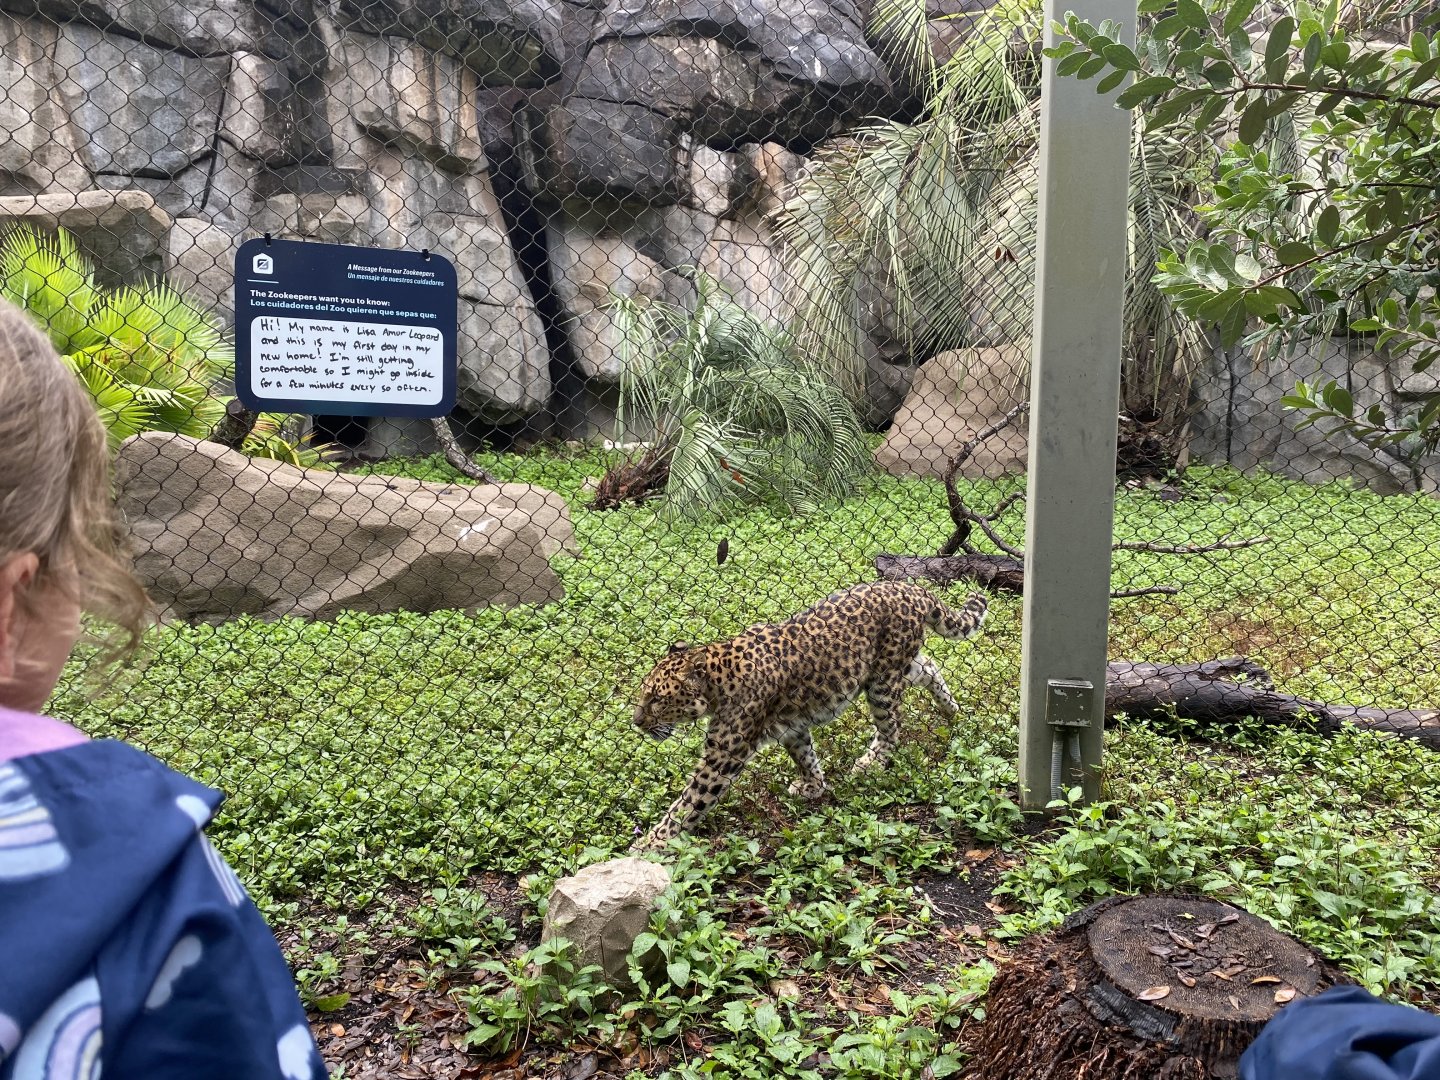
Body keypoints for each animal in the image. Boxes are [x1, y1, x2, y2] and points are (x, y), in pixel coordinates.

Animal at [630, 581, 989, 850]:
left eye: (657, 699)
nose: (636, 722)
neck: (720, 679)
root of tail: (909, 587)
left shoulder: (724, 757)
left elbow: (688, 802)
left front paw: (650, 844)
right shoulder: (792, 726)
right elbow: (805, 755)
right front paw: (814, 786)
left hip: (883, 682)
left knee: (892, 727)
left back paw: (871, 762)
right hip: (894, 667)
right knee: (929, 667)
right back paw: (952, 712)